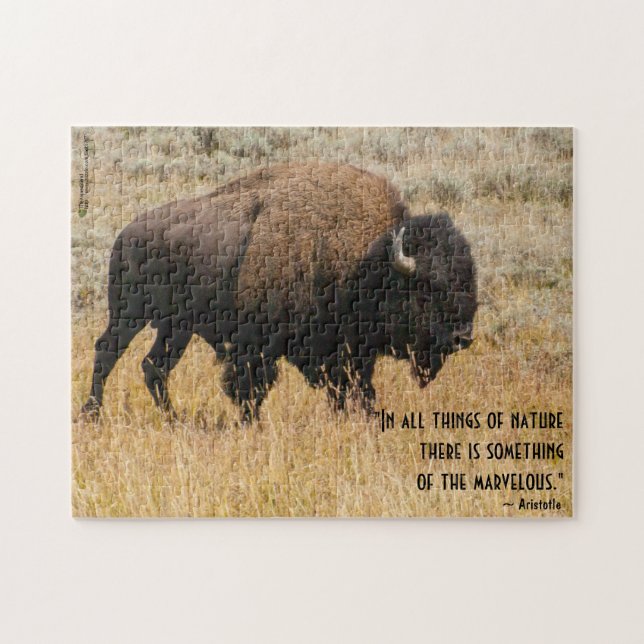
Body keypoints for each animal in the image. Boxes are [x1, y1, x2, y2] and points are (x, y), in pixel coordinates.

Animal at [81, 162, 477, 420]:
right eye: (428, 286)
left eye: (468, 280)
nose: (463, 337)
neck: (365, 259)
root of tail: (126, 232)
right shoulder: (256, 346)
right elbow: (250, 388)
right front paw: (251, 425)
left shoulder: (350, 352)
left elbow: (356, 390)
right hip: (130, 314)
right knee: (107, 351)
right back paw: (92, 414)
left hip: (176, 328)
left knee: (154, 367)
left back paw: (173, 420)